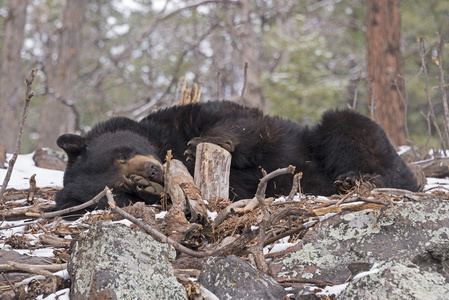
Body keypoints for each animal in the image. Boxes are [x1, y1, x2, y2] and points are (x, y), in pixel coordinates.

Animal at [53, 101, 420, 211]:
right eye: (124, 188)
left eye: (121, 151)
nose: (153, 172)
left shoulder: (179, 119)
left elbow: (241, 120)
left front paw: (204, 142)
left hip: (331, 136)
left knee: (346, 126)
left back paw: (359, 178)